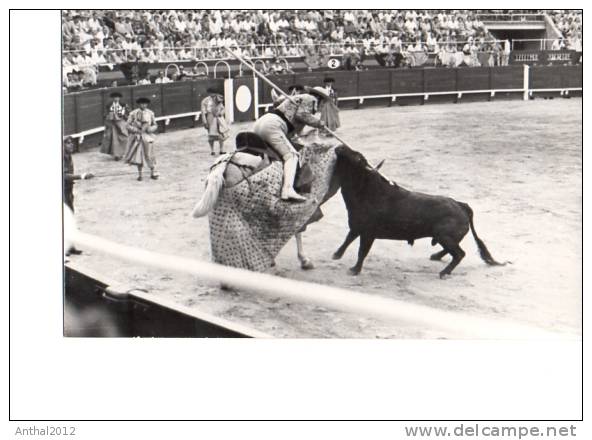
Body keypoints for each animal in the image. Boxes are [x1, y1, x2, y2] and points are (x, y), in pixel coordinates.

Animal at [332, 147, 504, 278]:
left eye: (356, 157)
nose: (339, 147)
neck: (368, 190)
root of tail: (461, 205)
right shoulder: (356, 226)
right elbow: (347, 239)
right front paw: (336, 255)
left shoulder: (368, 233)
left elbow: (362, 251)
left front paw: (354, 270)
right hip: (444, 236)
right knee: (453, 250)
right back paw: (436, 257)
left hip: (444, 235)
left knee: (459, 254)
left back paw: (443, 272)